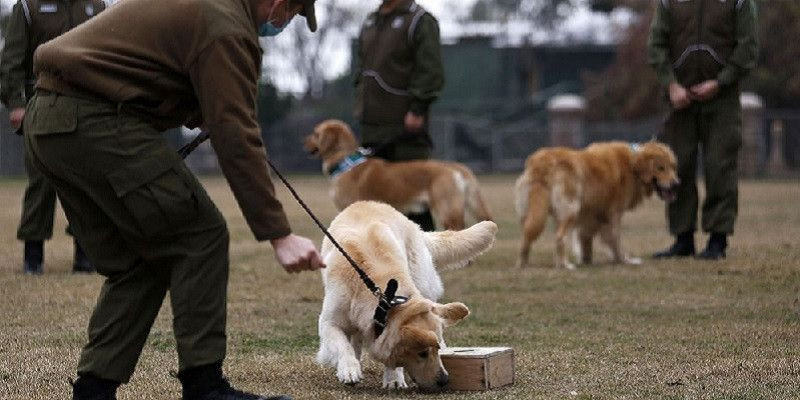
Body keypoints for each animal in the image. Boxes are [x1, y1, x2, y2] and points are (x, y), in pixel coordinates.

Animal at [316, 202, 496, 390]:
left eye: (436, 350)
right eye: (422, 353)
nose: (445, 380)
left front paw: (393, 378)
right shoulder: (329, 322)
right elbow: (342, 346)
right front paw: (349, 369)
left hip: (423, 282)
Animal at [516, 141, 680, 268]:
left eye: (673, 167)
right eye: (660, 167)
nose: (676, 184)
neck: (633, 166)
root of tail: (543, 162)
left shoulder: (591, 218)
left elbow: (585, 240)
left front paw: (586, 260)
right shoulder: (613, 215)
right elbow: (615, 239)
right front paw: (624, 260)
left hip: (536, 214)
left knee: (526, 236)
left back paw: (523, 264)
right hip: (571, 210)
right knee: (560, 237)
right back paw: (565, 264)